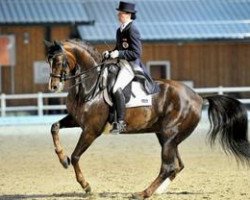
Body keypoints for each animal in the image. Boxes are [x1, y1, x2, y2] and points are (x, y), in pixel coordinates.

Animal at [45, 39, 250, 199]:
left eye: (60, 61)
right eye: (49, 61)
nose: (53, 87)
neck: (91, 85)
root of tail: (198, 97)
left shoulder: (91, 130)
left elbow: (76, 156)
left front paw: (85, 185)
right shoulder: (77, 120)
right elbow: (54, 127)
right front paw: (62, 159)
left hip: (169, 135)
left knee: (168, 167)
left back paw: (143, 193)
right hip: (167, 137)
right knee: (177, 166)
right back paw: (157, 191)